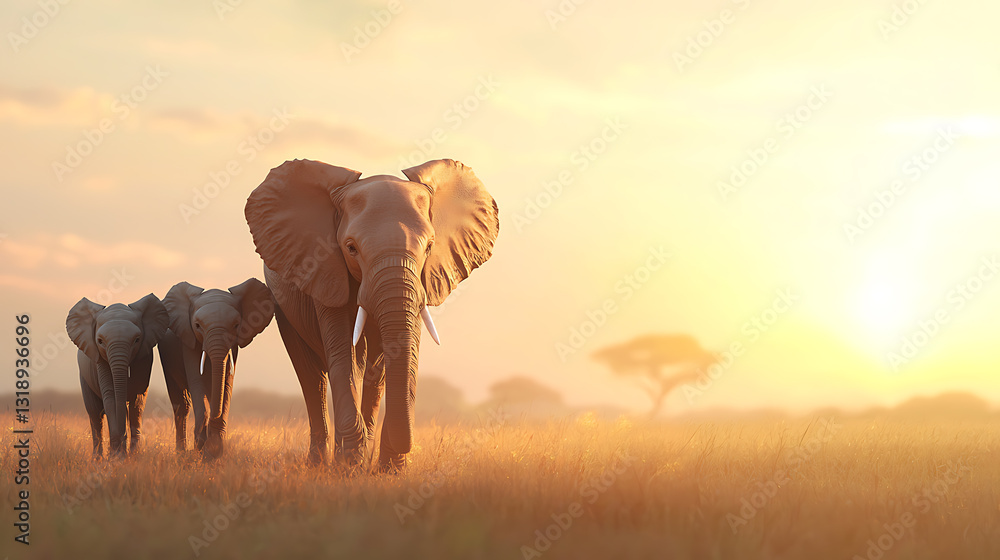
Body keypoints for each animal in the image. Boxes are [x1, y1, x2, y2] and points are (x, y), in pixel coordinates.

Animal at [66, 294, 169, 457]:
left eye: (137, 340)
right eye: (100, 341)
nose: (119, 449)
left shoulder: (144, 358)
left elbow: (137, 400)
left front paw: (132, 456)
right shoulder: (99, 360)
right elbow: (110, 395)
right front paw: (117, 457)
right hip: (84, 377)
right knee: (94, 413)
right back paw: (97, 458)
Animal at [157, 279, 274, 458]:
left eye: (236, 325)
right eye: (197, 325)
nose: (199, 442)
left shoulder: (233, 346)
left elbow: (226, 384)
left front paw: (213, 448)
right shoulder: (188, 339)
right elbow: (197, 381)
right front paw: (201, 445)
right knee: (181, 405)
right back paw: (181, 452)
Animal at [244, 158, 498, 471]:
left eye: (429, 246)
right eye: (351, 248)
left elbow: (400, 353)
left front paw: (388, 470)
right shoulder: (325, 268)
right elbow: (344, 354)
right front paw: (349, 466)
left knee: (372, 372)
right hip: (284, 304)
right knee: (312, 377)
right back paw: (321, 463)